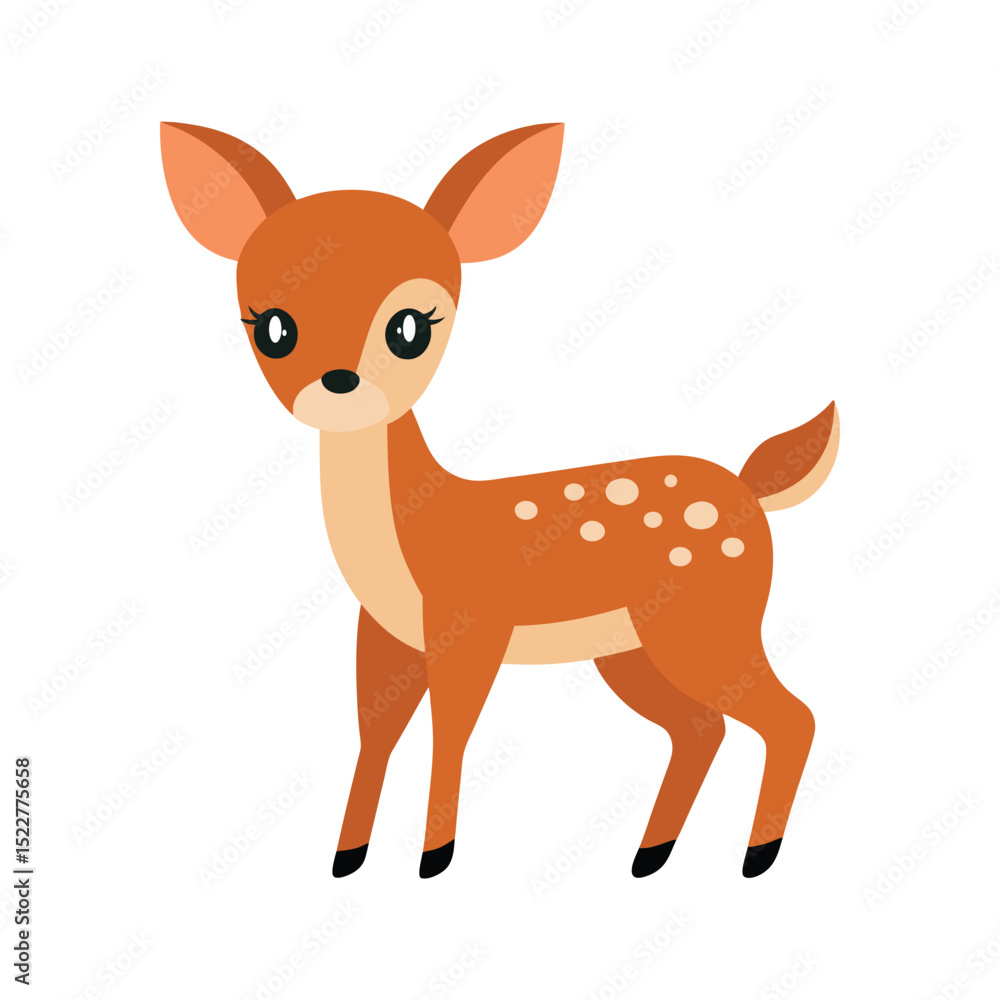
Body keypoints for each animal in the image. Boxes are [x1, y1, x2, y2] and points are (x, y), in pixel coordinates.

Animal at [160, 120, 839, 880]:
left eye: (410, 327)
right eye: (273, 327)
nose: (339, 382)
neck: (407, 534)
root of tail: (752, 489)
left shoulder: (471, 619)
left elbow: (451, 728)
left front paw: (434, 857)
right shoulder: (386, 633)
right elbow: (376, 730)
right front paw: (347, 856)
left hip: (708, 618)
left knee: (792, 716)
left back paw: (757, 855)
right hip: (632, 647)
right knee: (702, 727)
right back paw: (650, 856)